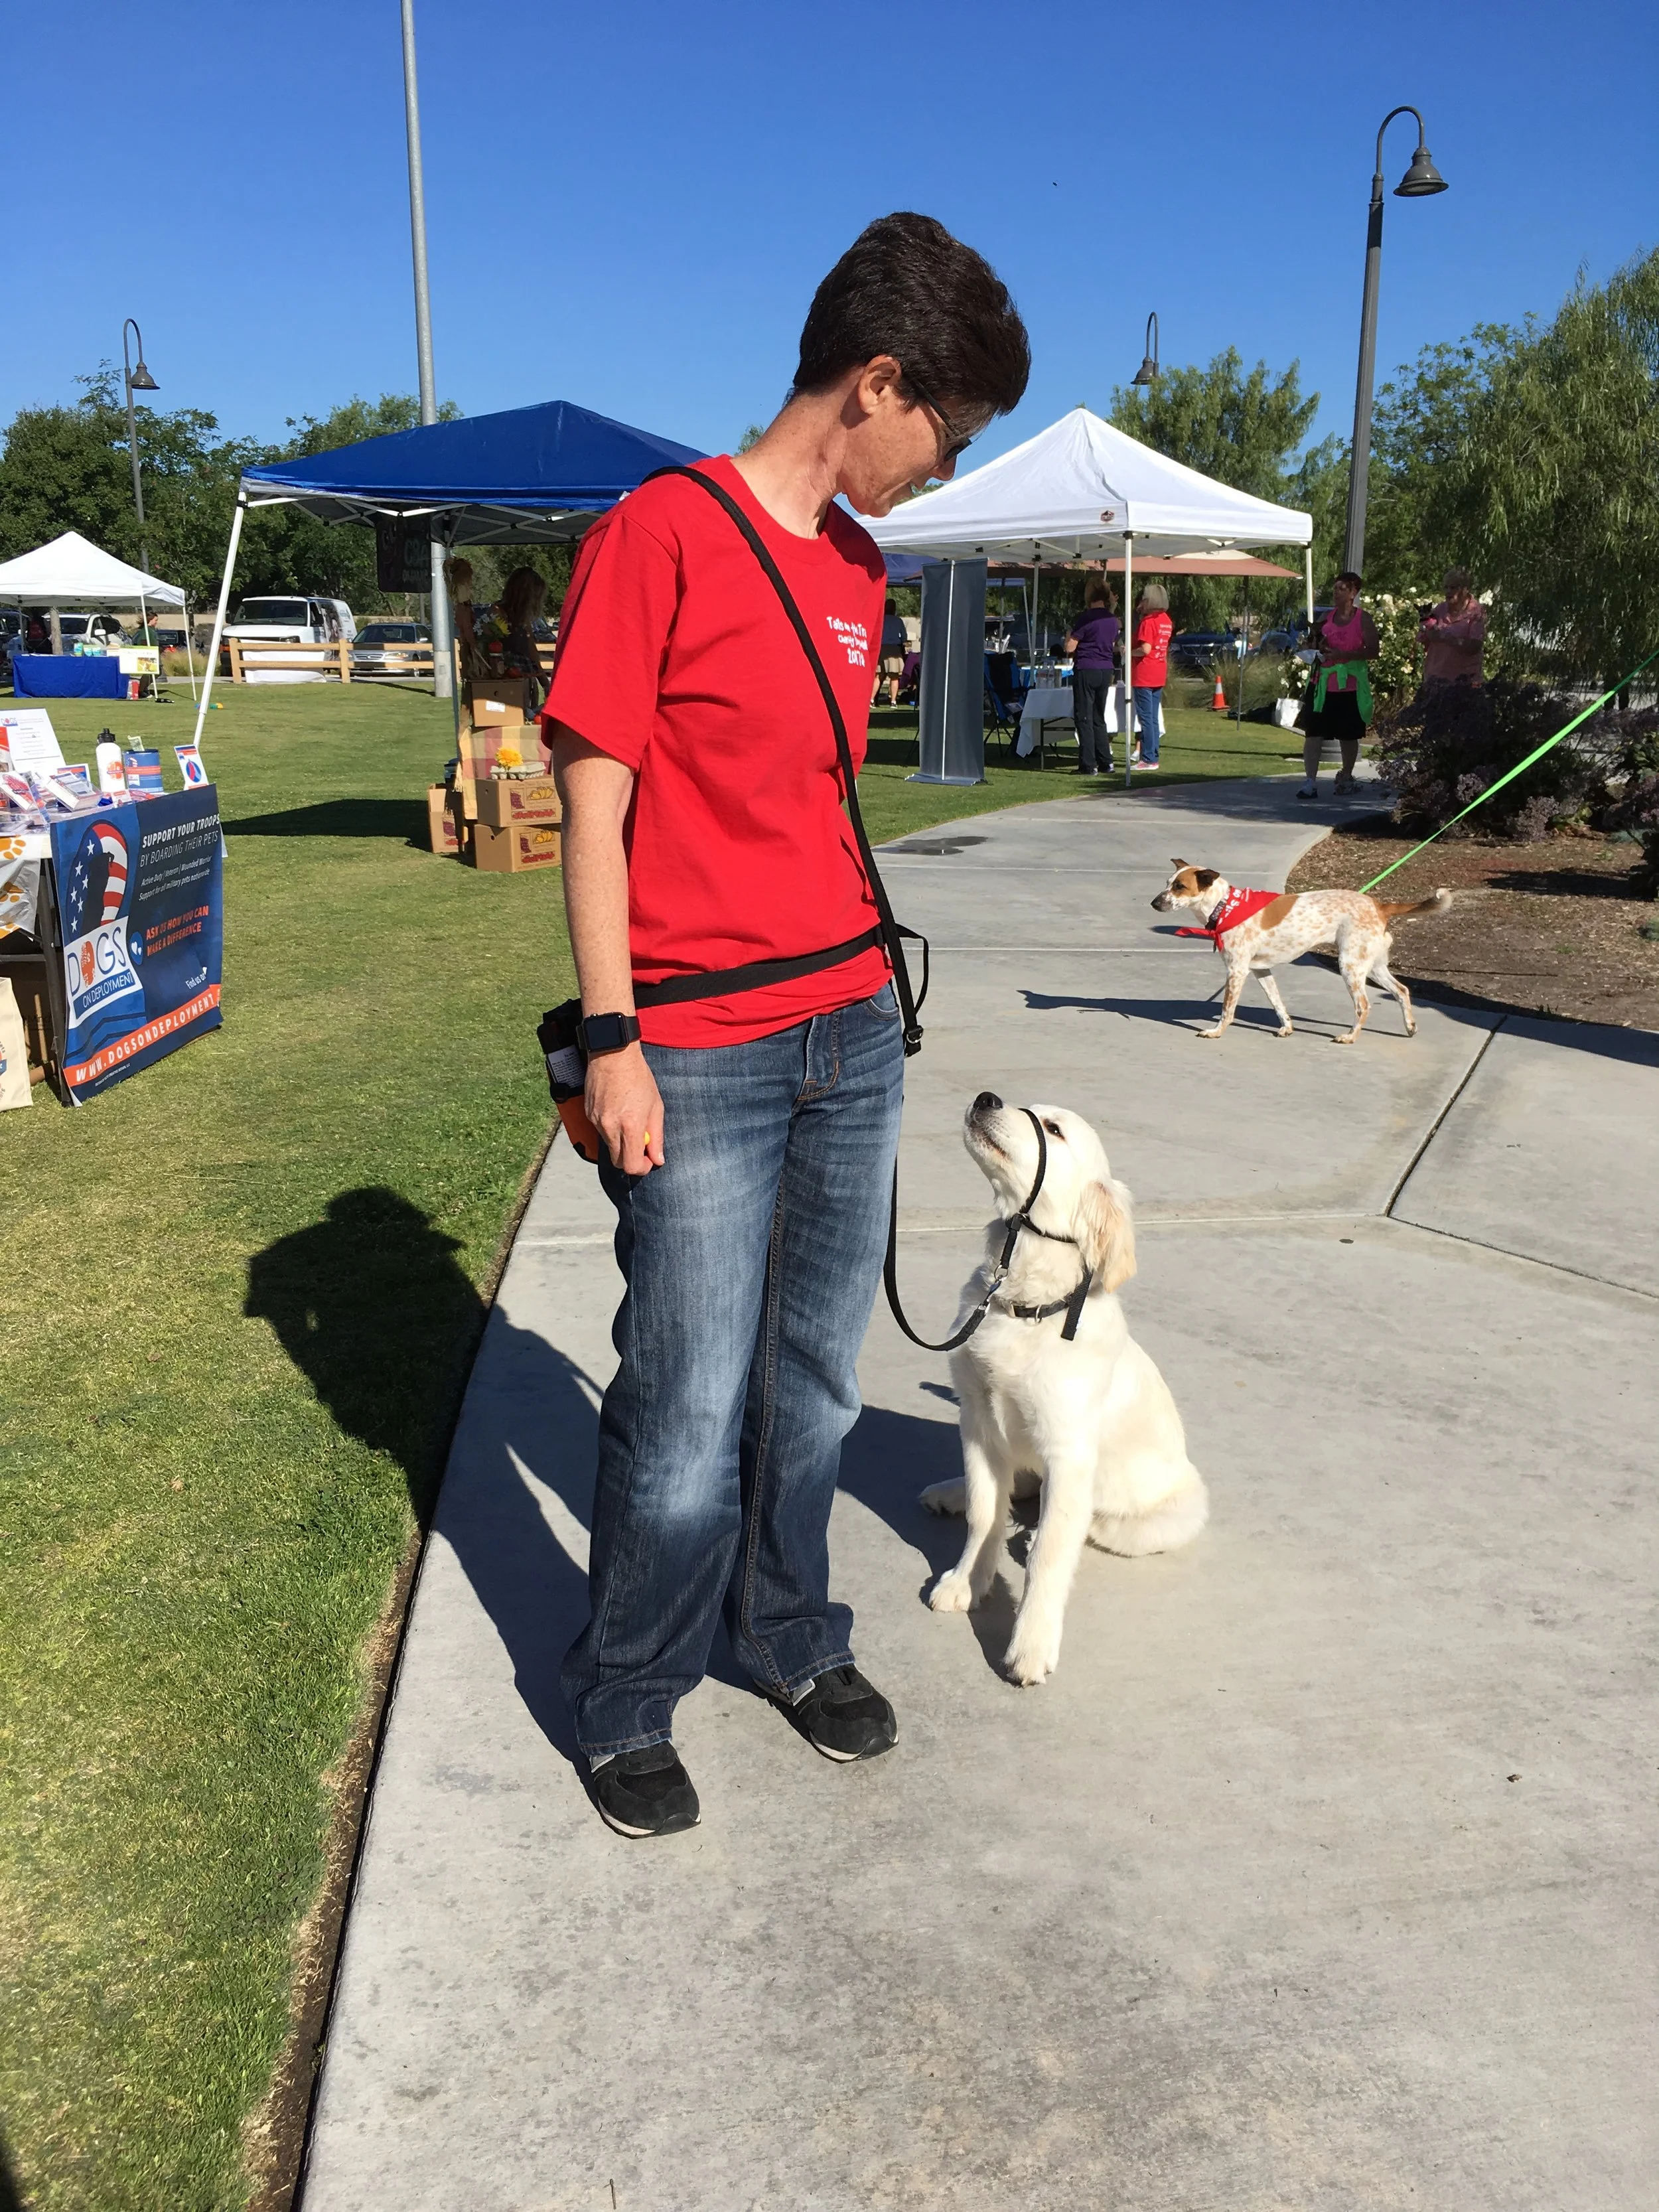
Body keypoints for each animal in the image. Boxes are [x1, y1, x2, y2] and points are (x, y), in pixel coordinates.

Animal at [924, 1097, 1212, 1681]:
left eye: (1054, 1130)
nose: (986, 1098)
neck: (1023, 1305)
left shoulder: (1069, 1451)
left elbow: (1053, 1553)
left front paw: (1031, 1643)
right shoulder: (978, 1421)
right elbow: (986, 1512)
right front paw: (967, 1579)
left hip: (1177, 1509)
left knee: (1091, 1524)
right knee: (1016, 1489)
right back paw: (950, 1492)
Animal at [1159, 853, 1451, 1044]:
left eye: (1180, 887)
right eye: (1167, 883)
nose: (1154, 903)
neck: (1225, 906)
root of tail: (1379, 905)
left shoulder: (1237, 971)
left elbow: (1227, 1010)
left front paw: (1216, 1032)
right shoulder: (1261, 970)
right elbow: (1277, 1002)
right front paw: (1287, 1028)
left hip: (1350, 966)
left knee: (1364, 1005)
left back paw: (1351, 1037)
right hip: (1373, 966)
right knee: (1402, 990)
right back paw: (1410, 1027)